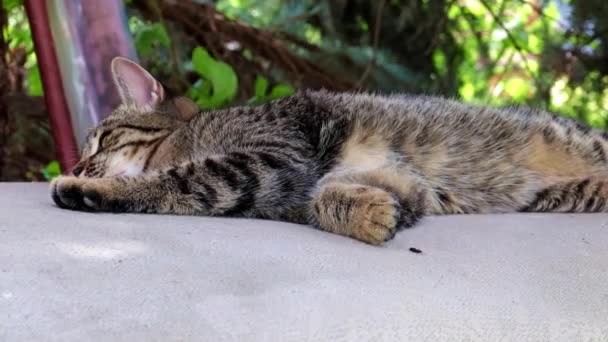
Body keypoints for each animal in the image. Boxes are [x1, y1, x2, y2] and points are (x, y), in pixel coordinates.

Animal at [51, 57, 608, 244]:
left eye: (100, 140)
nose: (76, 162)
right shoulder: (297, 183)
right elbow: (324, 200)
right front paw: (367, 213)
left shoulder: (269, 159)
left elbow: (175, 181)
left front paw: (83, 186)